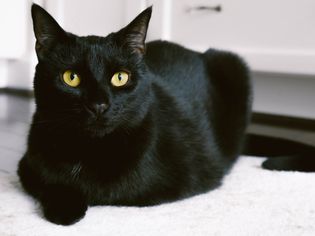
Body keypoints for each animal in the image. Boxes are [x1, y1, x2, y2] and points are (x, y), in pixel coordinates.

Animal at [16, 3, 315, 225]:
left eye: (120, 77)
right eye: (71, 77)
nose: (99, 105)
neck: (90, 150)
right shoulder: (28, 165)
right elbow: (49, 182)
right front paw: (65, 206)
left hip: (234, 63)